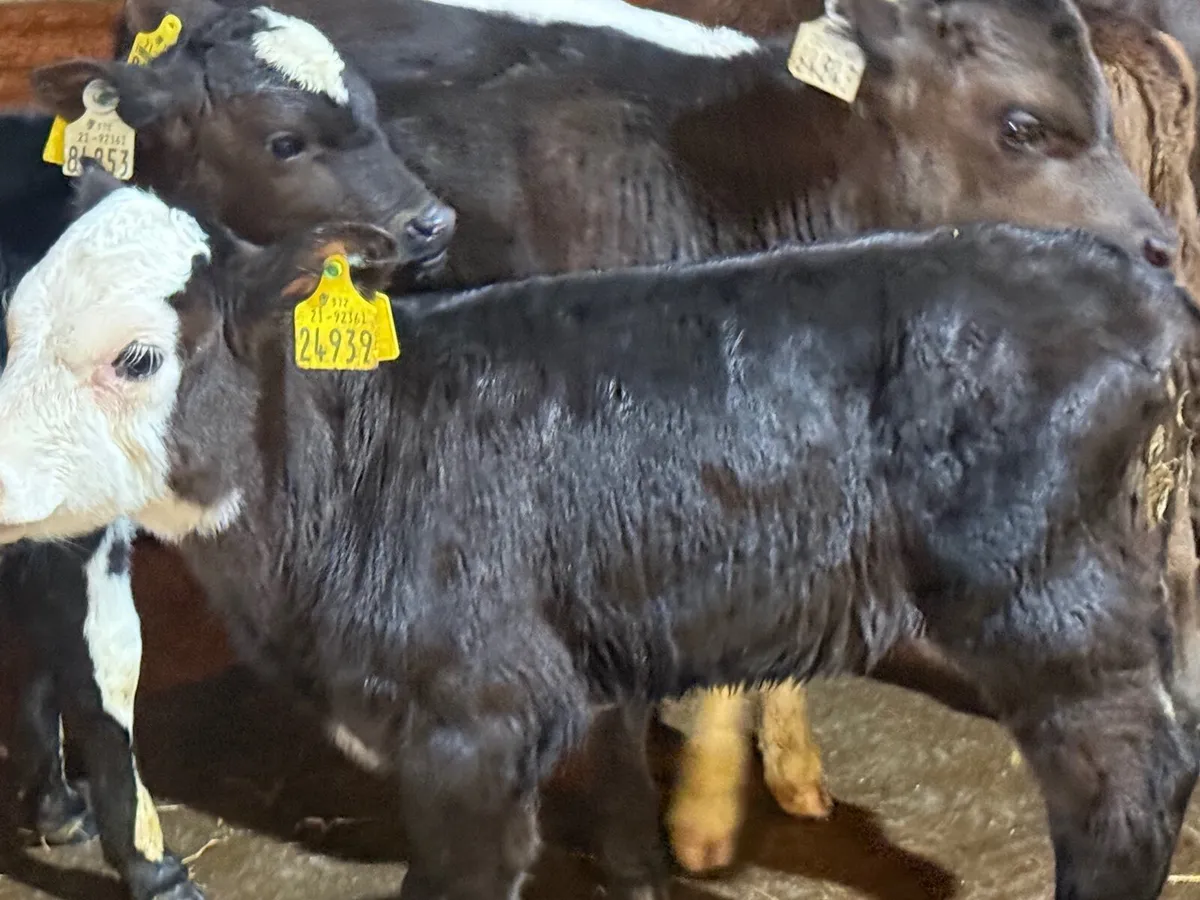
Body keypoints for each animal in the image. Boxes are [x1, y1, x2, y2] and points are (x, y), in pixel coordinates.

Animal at [0, 0, 455, 894]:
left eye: (371, 108)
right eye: (284, 142)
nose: (433, 224)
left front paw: (55, 806)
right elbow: (108, 659)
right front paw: (148, 860)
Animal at [1, 168, 1199, 900]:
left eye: (137, 357)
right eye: (12, 325)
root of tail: (1130, 286)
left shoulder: (480, 714)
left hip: (1040, 590)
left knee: (1126, 778)